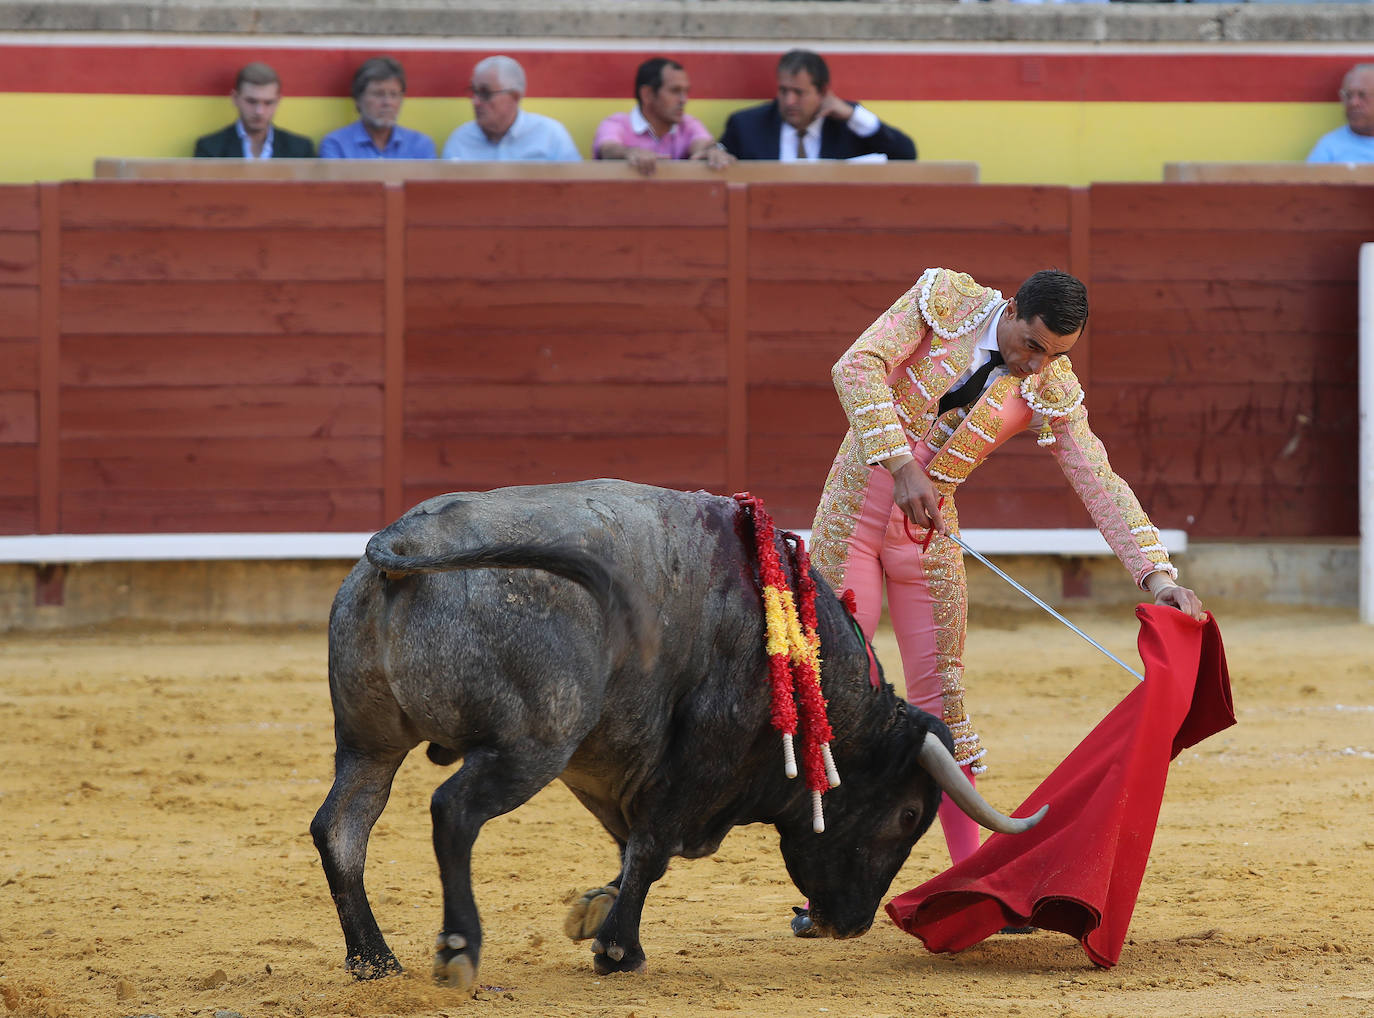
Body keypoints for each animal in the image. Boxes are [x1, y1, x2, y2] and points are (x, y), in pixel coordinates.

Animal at [309, 480, 1038, 989]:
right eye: (909, 814)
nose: (851, 925)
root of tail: (405, 547)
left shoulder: (615, 765)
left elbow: (631, 845)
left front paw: (596, 911)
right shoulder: (701, 754)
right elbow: (653, 849)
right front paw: (618, 949)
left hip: (369, 745)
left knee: (342, 829)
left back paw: (374, 960)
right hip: (533, 742)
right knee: (453, 811)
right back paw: (458, 949)